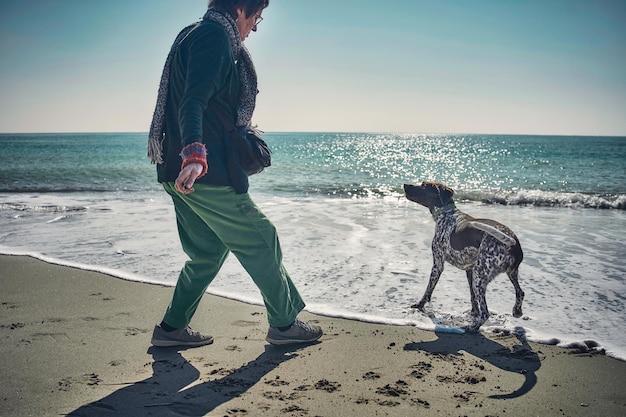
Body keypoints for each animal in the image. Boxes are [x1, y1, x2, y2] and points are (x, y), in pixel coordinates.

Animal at [402, 180, 520, 330]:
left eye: (423, 185)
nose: (405, 185)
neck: (447, 213)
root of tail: (512, 241)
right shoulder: (469, 270)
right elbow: (473, 298)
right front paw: (473, 312)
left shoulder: (438, 264)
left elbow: (428, 290)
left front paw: (419, 305)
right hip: (508, 273)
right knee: (520, 293)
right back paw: (517, 311)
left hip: (479, 278)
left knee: (486, 313)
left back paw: (472, 328)